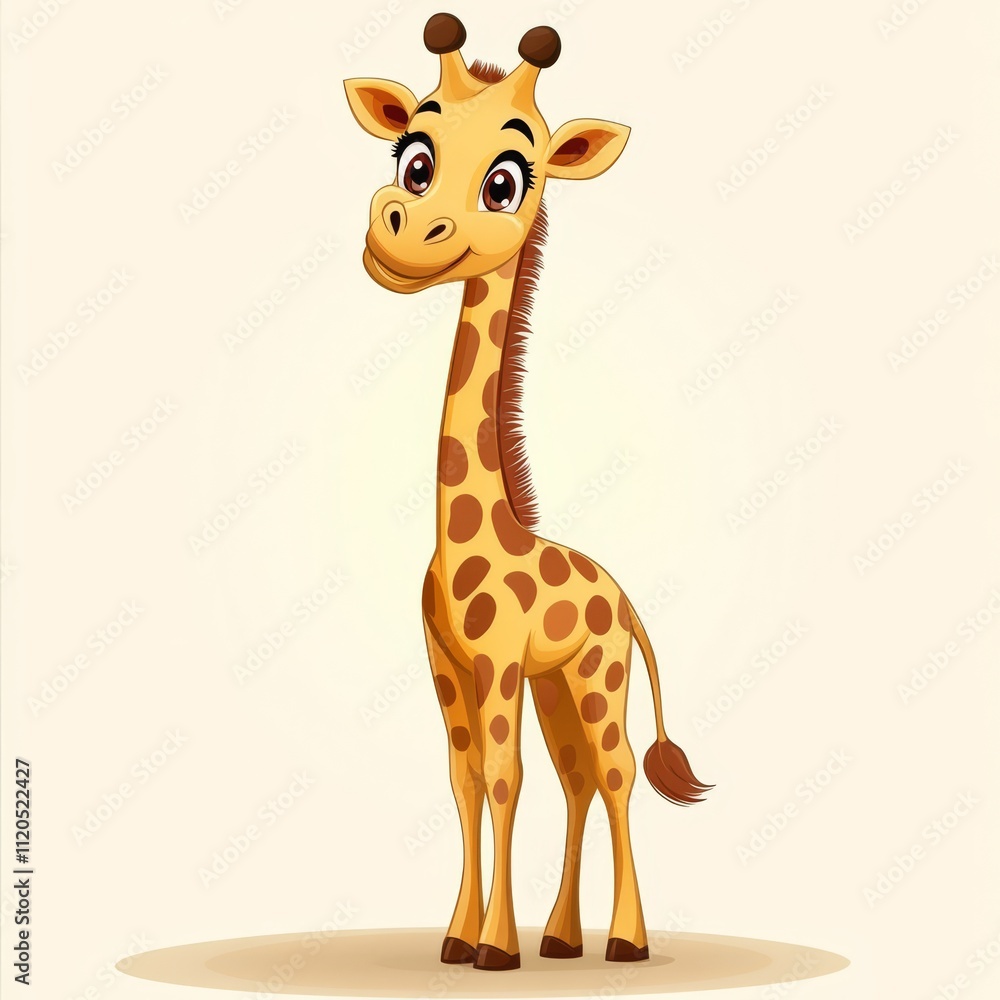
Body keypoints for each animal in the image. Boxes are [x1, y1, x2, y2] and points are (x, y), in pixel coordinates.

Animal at [345, 13, 711, 972]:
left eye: (507, 181)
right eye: (414, 156)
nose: (403, 231)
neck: (465, 537)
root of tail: (626, 602)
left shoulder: (499, 660)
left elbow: (503, 781)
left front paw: (494, 950)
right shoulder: (446, 665)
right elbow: (466, 780)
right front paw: (459, 937)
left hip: (596, 677)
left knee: (615, 779)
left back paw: (622, 942)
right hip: (559, 687)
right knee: (578, 783)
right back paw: (560, 937)